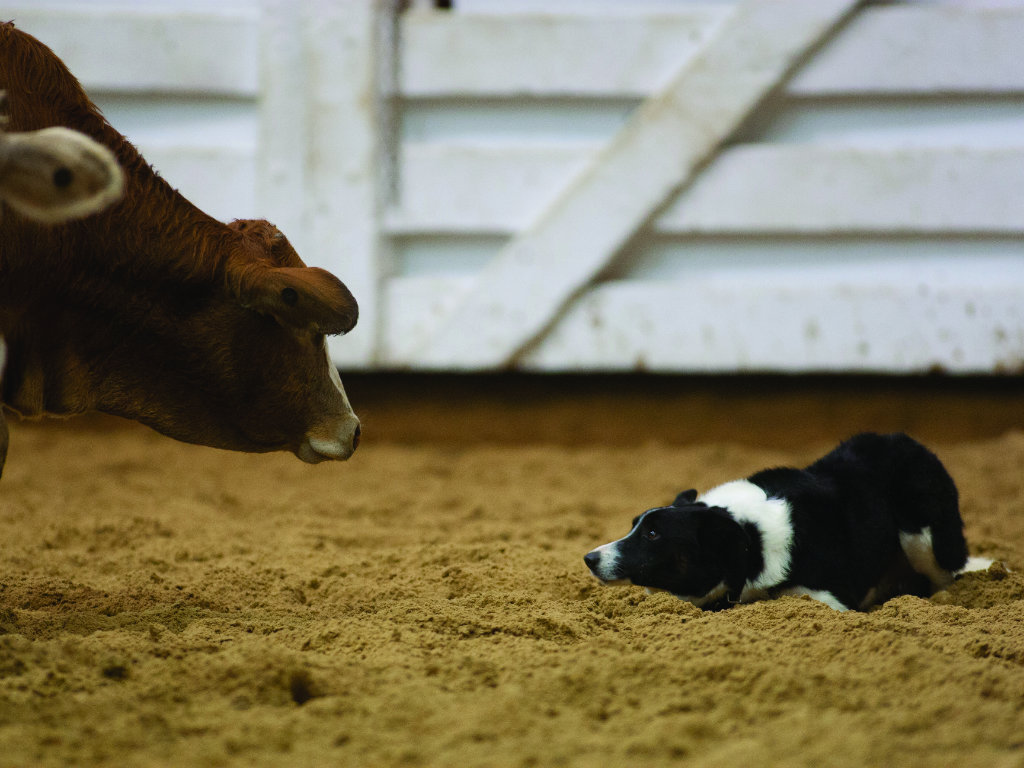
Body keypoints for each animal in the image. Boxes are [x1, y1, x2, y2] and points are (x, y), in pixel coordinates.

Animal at [585, 434, 991, 614]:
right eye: (635, 525)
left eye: (653, 534)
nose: (589, 558)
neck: (748, 541)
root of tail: (909, 441)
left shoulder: (831, 598)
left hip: (923, 537)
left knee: (946, 574)